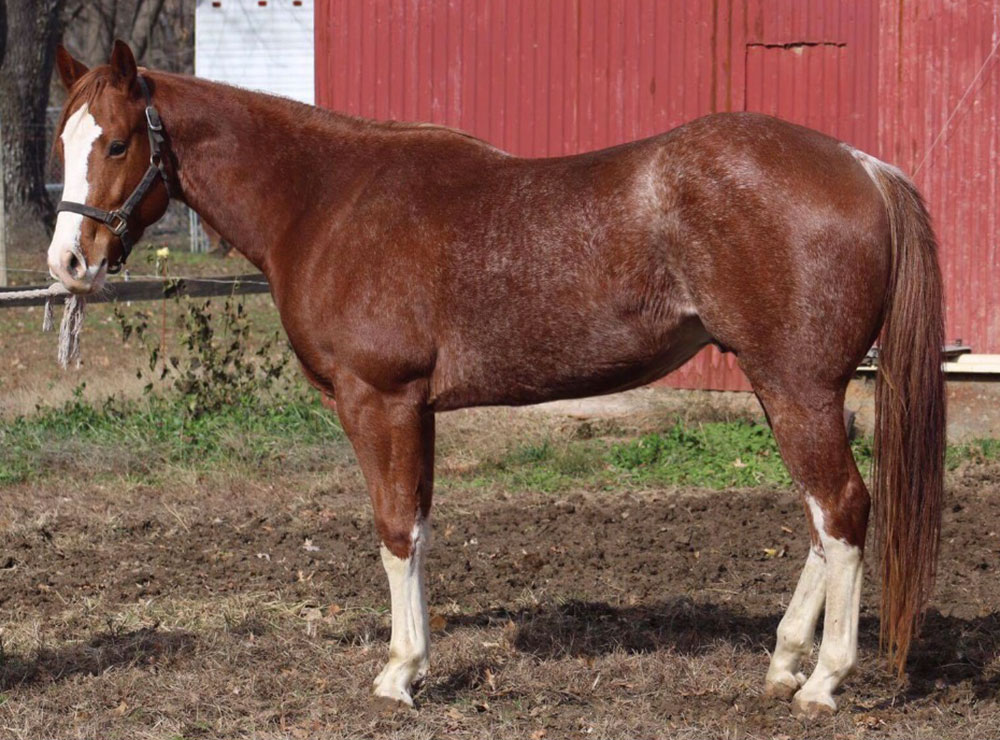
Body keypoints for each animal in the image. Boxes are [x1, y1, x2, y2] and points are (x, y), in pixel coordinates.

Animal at [47, 42, 944, 716]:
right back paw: (785, 661)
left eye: (118, 143)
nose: (67, 265)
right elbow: (419, 525)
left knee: (841, 511)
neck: (328, 200)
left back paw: (824, 681)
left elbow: (394, 530)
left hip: (797, 389)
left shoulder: (380, 400)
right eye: (63, 141)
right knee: (822, 519)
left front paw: (399, 674)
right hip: (794, 390)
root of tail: (863, 167)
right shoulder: (418, 409)